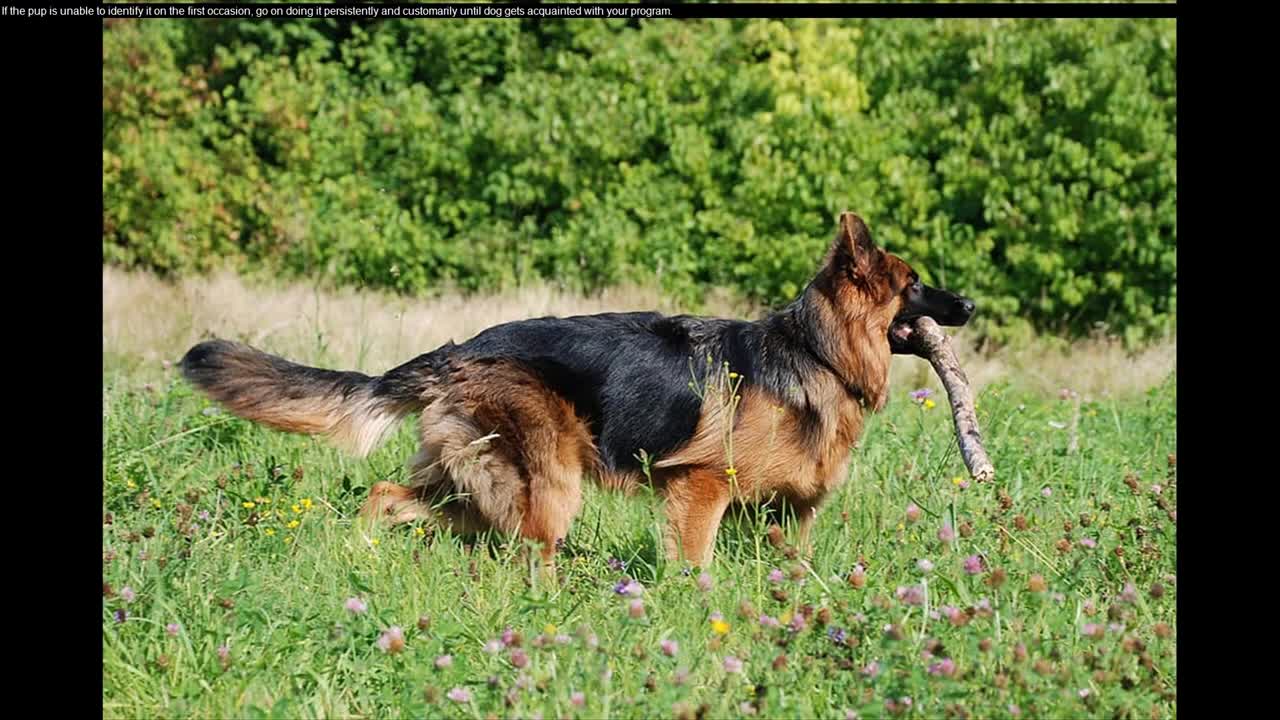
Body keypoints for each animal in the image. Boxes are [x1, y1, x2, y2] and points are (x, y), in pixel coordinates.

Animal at [180, 210, 972, 573]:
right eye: (915, 285)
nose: (968, 305)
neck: (815, 353)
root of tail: (458, 351)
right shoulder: (699, 488)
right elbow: (695, 567)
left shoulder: (784, 512)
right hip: (544, 485)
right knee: (533, 552)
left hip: (472, 485)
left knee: (386, 496)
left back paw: (359, 557)